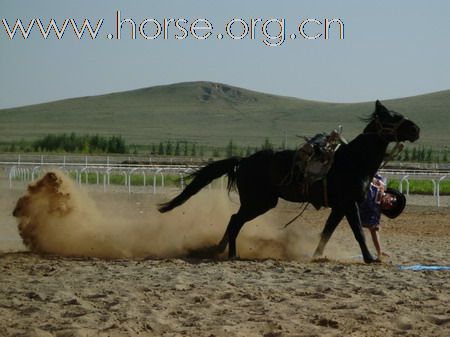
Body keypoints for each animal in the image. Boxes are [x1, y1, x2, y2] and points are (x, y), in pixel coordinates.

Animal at [158, 100, 418, 262]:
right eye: (393, 117)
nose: (416, 129)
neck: (353, 161)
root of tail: (244, 160)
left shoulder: (339, 207)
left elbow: (327, 232)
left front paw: (316, 256)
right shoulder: (349, 203)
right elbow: (358, 233)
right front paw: (370, 258)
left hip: (259, 203)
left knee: (233, 221)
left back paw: (219, 249)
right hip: (258, 202)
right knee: (234, 221)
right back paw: (231, 253)